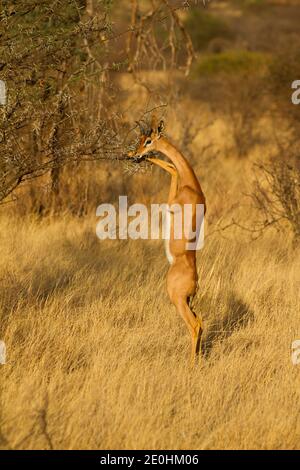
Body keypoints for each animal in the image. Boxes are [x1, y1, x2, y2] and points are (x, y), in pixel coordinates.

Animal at [129, 115, 206, 366]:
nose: (135, 154)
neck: (193, 186)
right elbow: (173, 167)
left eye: (149, 140)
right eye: (140, 138)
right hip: (188, 302)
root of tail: (195, 282)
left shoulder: (171, 203)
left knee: (194, 325)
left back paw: (191, 366)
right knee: (201, 322)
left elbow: (172, 169)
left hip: (178, 300)